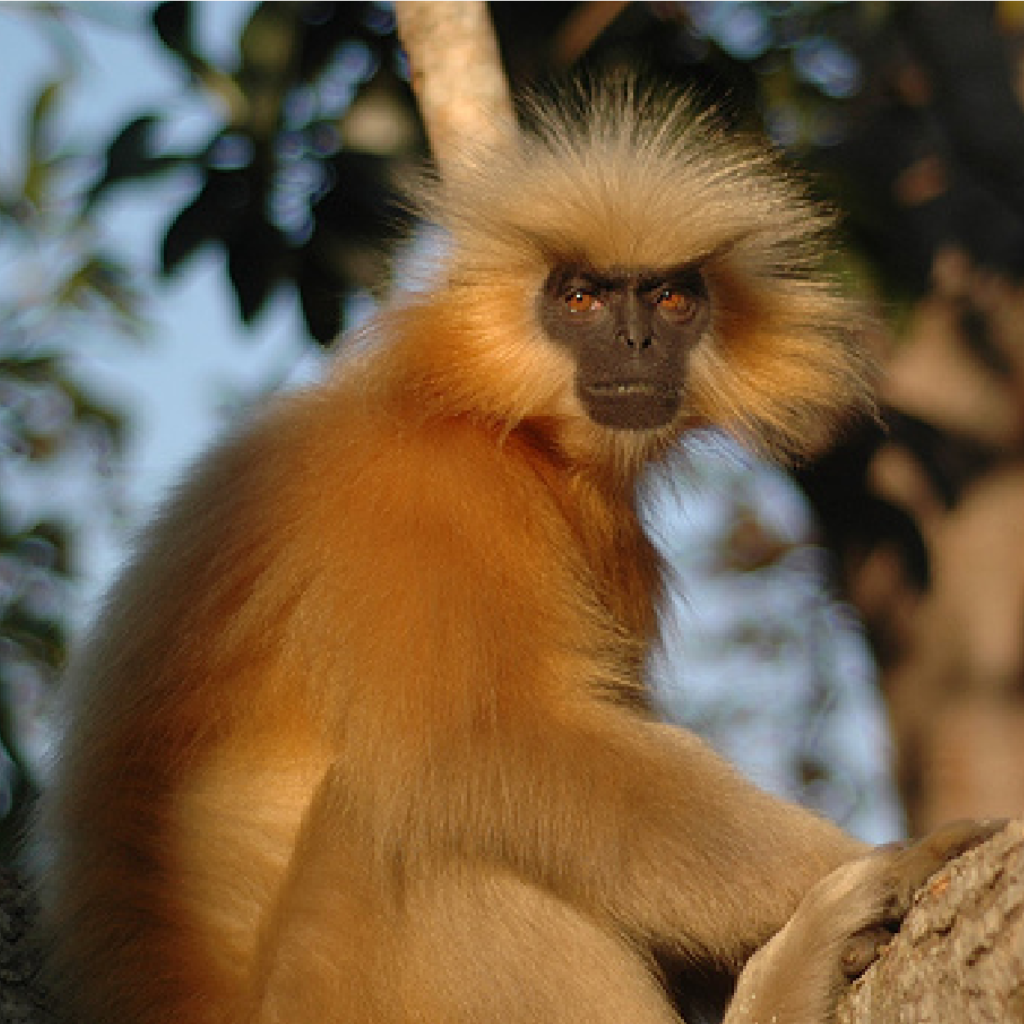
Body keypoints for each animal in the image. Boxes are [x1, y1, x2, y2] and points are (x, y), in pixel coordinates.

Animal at [34, 79, 999, 1024]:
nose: (638, 343)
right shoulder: (423, 489)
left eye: (671, 299)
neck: (512, 435)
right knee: (426, 817)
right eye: (581, 299)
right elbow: (491, 745)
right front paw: (892, 857)